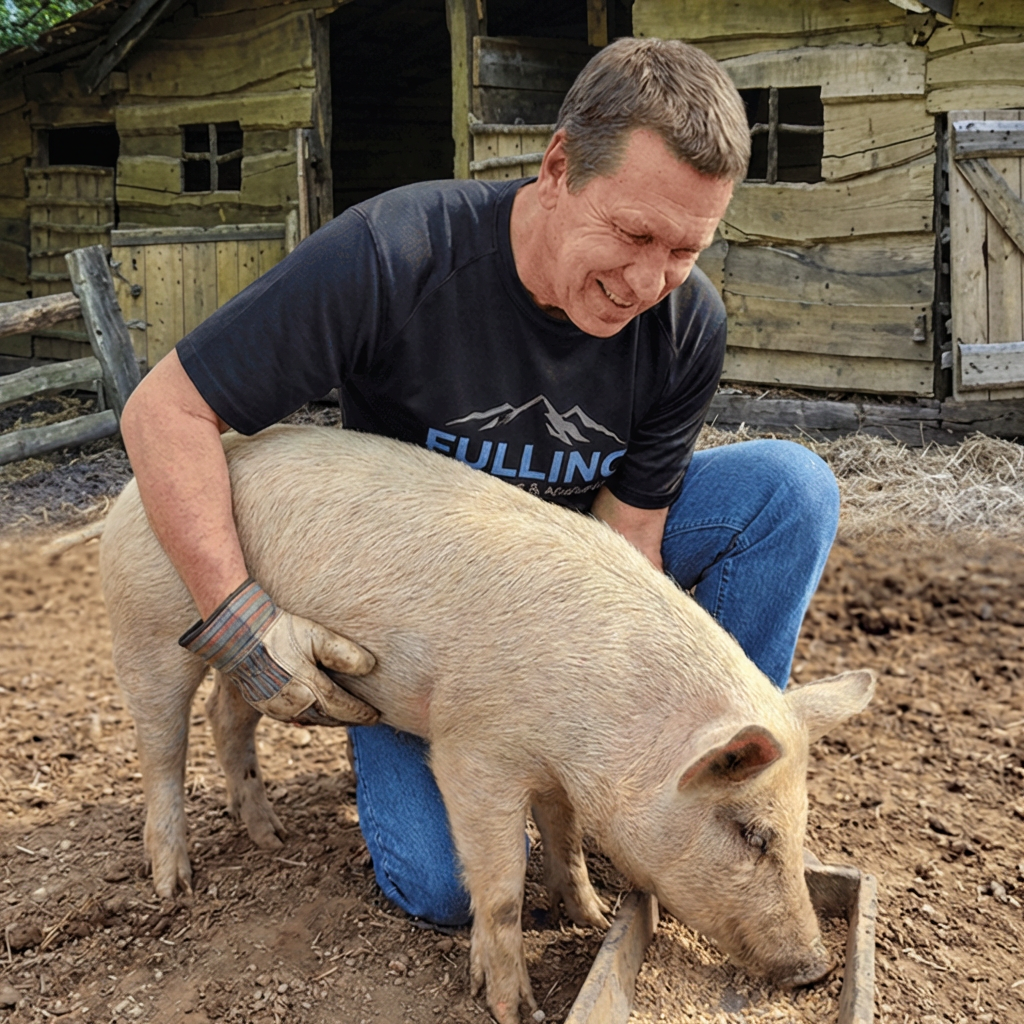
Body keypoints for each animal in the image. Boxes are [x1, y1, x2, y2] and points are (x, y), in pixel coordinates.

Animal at [99, 424, 874, 1024]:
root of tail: (129, 491)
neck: (608, 727)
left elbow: (564, 837)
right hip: (147, 625)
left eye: (802, 825)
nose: (813, 968)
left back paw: (269, 835)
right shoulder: (473, 747)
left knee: (228, 713)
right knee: (161, 749)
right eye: (751, 832)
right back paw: (174, 886)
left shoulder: (561, 772)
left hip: (253, 658)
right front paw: (515, 1009)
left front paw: (592, 918)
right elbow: (498, 889)